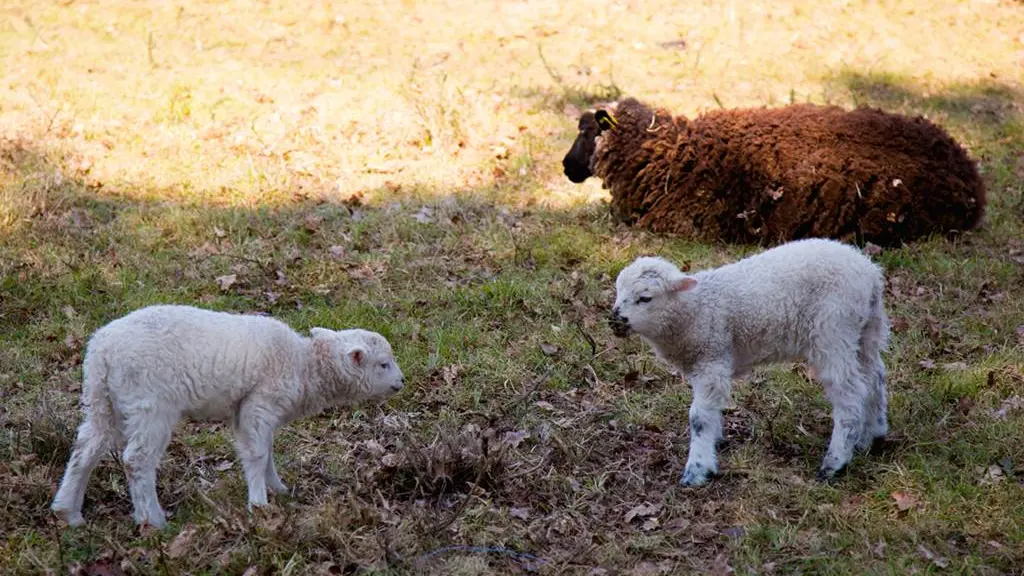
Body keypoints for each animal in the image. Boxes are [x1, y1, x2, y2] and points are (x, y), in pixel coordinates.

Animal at [50, 305, 403, 524]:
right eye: (383, 364)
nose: (402, 382)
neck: (304, 365)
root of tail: (101, 351)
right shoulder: (259, 404)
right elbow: (258, 454)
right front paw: (259, 504)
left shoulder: (252, 412)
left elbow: (266, 451)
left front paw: (279, 489)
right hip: (149, 403)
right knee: (137, 460)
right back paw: (153, 521)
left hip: (102, 398)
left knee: (86, 447)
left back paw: (69, 513)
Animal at [610, 237, 892, 483]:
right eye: (618, 291)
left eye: (645, 298)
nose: (615, 320)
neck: (694, 309)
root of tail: (869, 272)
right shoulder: (704, 362)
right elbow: (710, 411)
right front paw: (716, 439)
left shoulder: (712, 359)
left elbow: (699, 417)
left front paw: (697, 469)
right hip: (866, 329)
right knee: (873, 376)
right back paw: (872, 435)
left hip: (833, 329)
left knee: (849, 393)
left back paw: (835, 462)